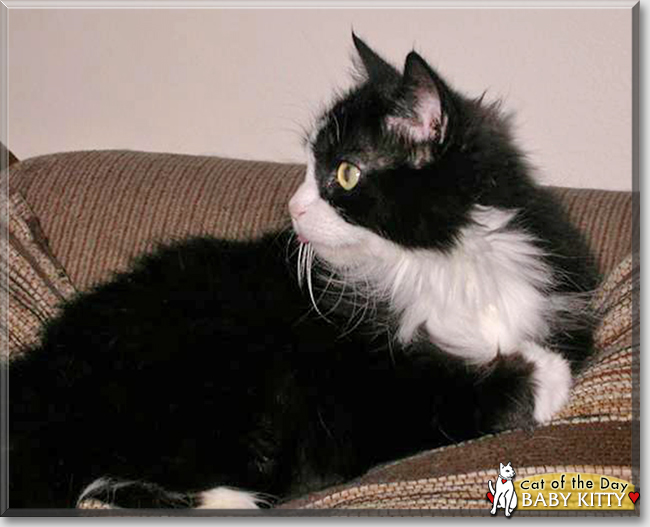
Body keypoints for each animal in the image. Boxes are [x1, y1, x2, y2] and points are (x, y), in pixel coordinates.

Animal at [6, 34, 596, 512]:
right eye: (309, 167)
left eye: (345, 172)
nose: (293, 209)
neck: (430, 262)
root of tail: (44, 372)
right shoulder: (362, 395)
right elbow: (451, 396)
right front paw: (543, 374)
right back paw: (233, 500)